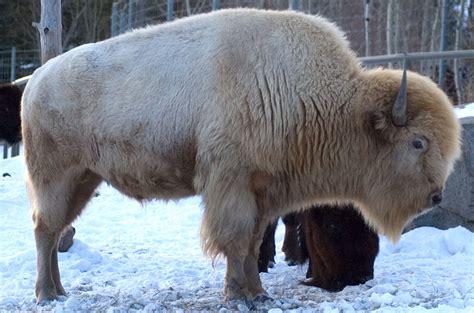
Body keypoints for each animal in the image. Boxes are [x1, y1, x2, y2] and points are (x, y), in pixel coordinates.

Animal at [21, 9, 460, 302]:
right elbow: (234, 240)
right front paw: (237, 295)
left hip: (84, 179)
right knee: (45, 230)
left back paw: (59, 290)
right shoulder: (231, 185)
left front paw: (258, 293)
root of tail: (36, 80)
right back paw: (46, 294)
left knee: (55, 230)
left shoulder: (263, 193)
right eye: (418, 142)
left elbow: (251, 244)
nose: (436, 195)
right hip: (56, 176)